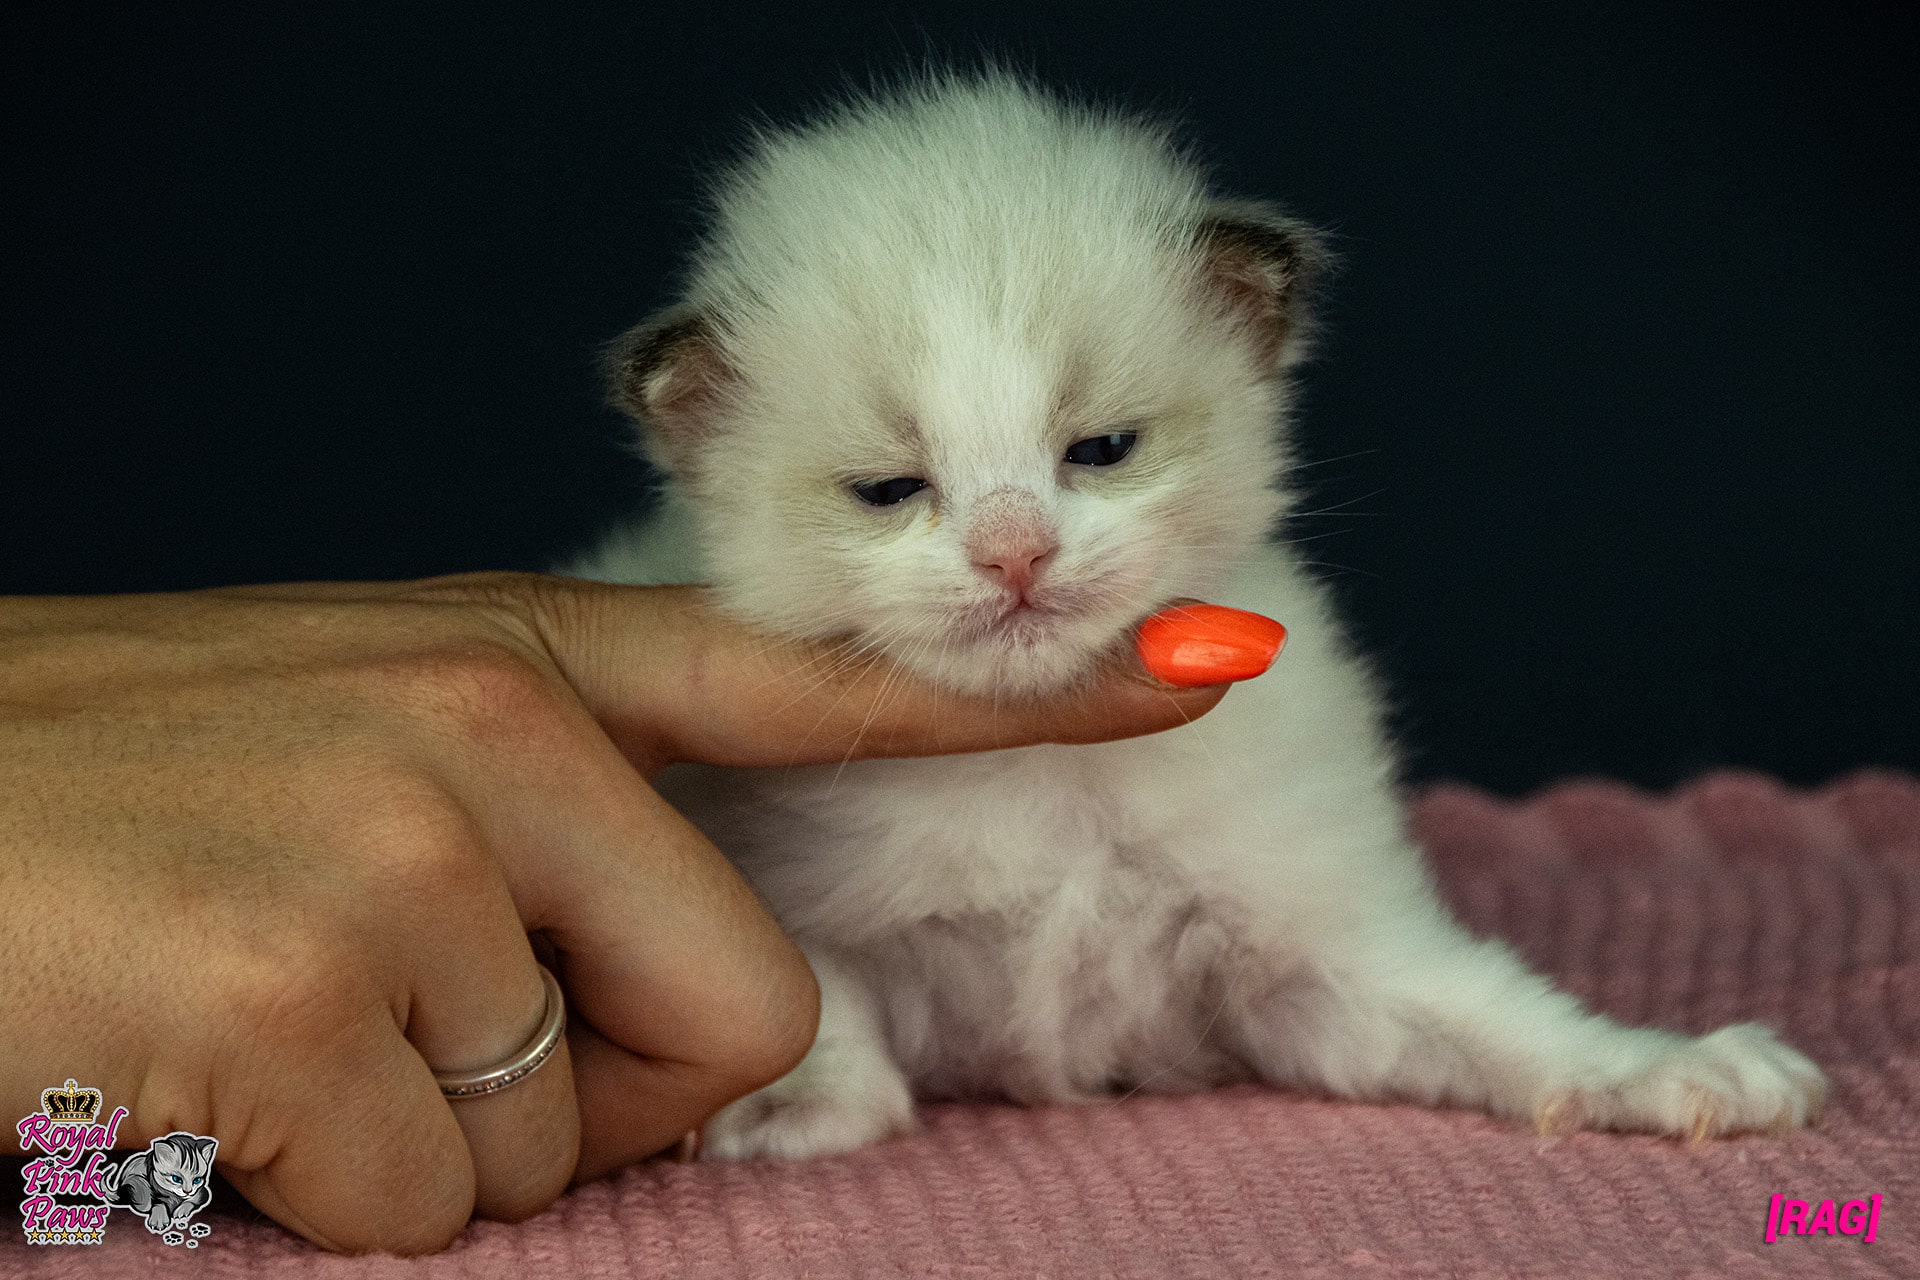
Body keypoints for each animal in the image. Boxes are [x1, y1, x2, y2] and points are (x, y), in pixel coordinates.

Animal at [564, 72, 1812, 1159]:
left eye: (1104, 448)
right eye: (887, 489)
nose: (1015, 548)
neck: (1039, 760)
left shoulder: (1321, 952)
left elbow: (1494, 1012)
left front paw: (1662, 1067)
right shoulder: (772, 875)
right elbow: (818, 991)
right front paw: (792, 1102)